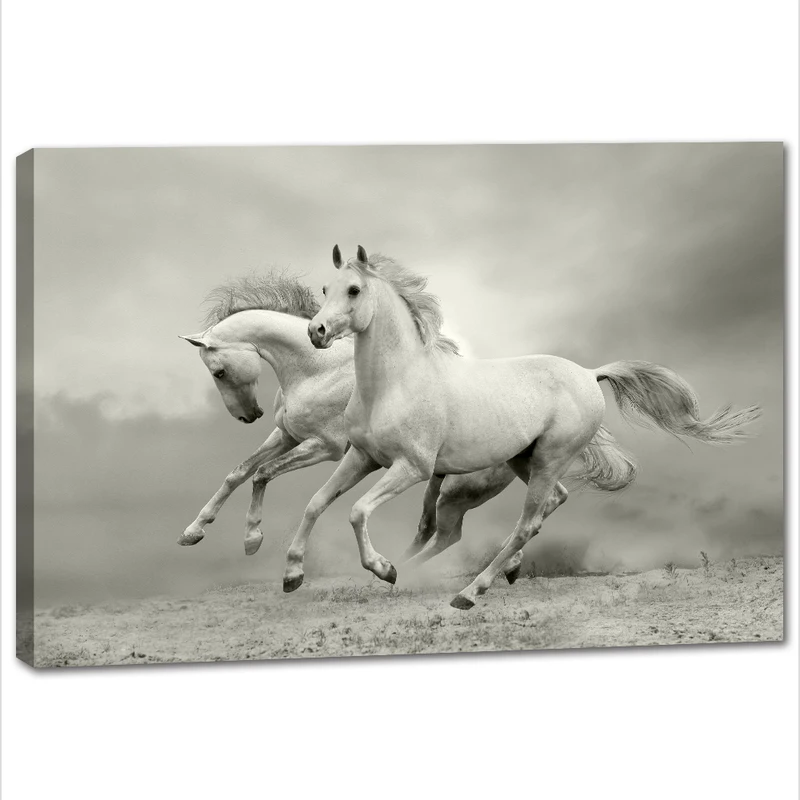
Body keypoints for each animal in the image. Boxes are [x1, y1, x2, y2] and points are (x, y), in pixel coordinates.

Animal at [289, 245, 761, 609]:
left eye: (354, 289)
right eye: (325, 289)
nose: (317, 331)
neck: (395, 383)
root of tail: (589, 374)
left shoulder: (412, 468)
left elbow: (356, 510)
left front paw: (383, 568)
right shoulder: (362, 457)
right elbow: (315, 503)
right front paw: (292, 574)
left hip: (549, 458)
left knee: (527, 523)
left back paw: (469, 592)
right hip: (524, 460)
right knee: (552, 501)